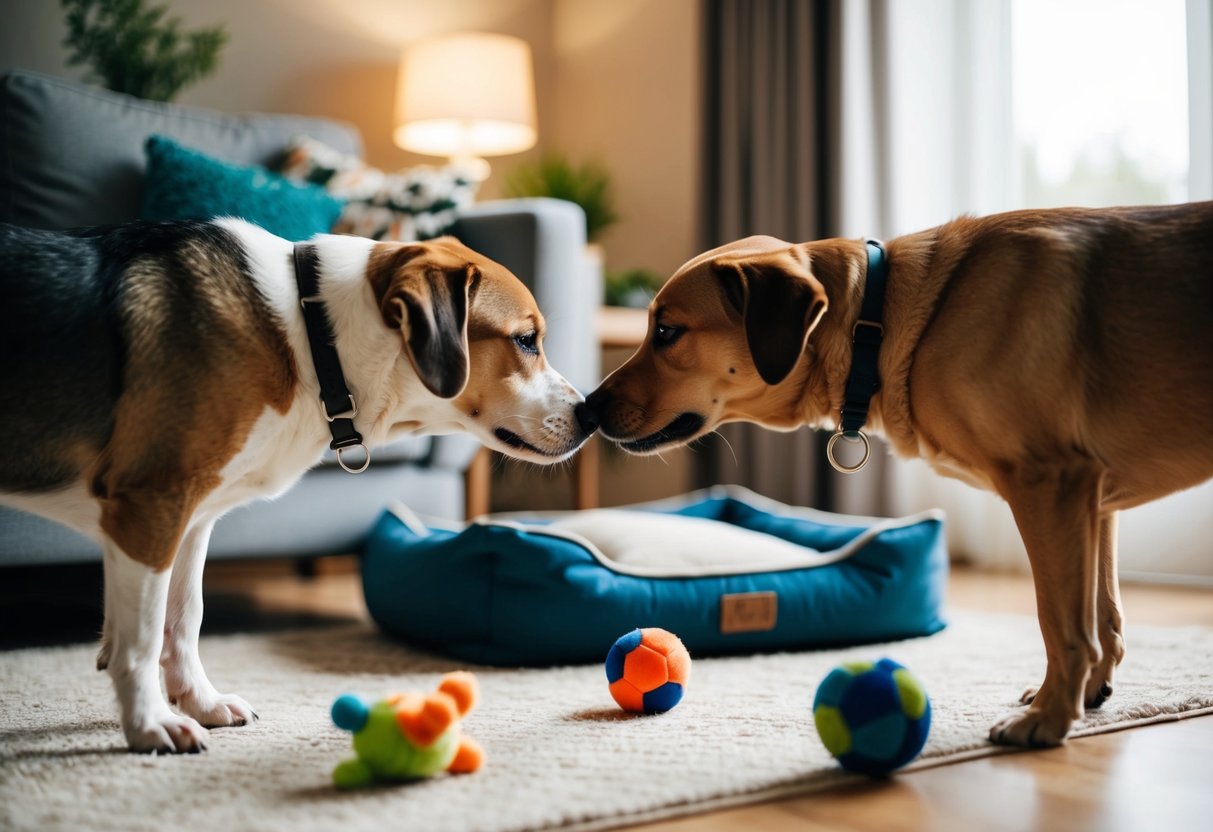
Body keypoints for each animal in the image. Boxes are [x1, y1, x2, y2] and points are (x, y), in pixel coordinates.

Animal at [0, 218, 596, 751]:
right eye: (526, 340)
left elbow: (183, 617)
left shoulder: (191, 518)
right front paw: (150, 724)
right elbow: (143, 635)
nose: (590, 414)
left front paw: (199, 702)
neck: (313, 339)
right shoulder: (151, 501)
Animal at [591, 202, 1213, 751]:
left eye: (667, 332)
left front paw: (1051, 717)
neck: (880, 323)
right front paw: (1085, 696)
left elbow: (1063, 621)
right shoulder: (1093, 496)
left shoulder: (1050, 481)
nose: (588, 408)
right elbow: (1105, 616)